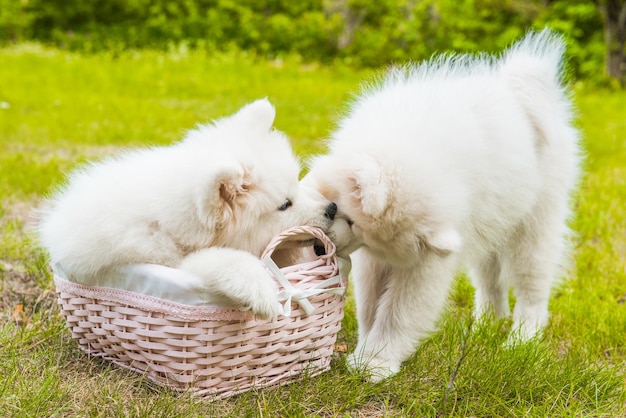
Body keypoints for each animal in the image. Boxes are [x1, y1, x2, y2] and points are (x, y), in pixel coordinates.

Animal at [37, 99, 336, 320]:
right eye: (285, 205)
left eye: (297, 183)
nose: (333, 208)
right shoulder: (166, 259)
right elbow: (223, 259)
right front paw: (260, 292)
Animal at [302, 31, 580, 380]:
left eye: (352, 222)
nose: (325, 245)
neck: (411, 145)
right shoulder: (376, 262)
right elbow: (370, 304)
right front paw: (364, 351)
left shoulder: (424, 266)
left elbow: (398, 313)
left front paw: (377, 362)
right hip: (492, 229)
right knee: (490, 282)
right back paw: (486, 326)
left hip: (533, 228)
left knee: (532, 288)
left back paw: (521, 339)